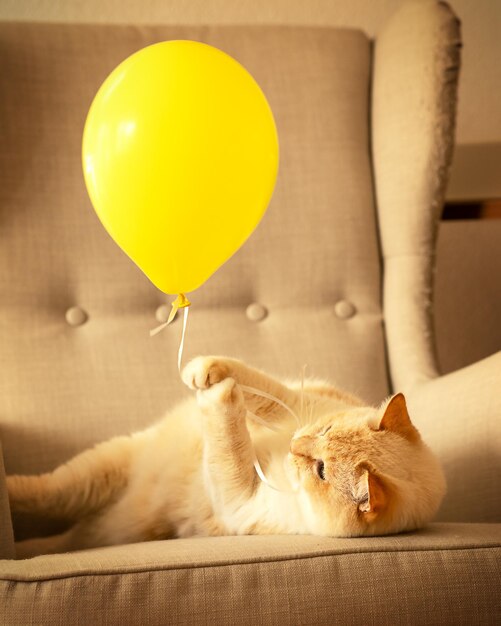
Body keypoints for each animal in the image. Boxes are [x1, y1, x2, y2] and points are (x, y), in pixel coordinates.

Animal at [6, 354, 446, 560]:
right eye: (322, 432)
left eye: (321, 470)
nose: (295, 446)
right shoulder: (297, 404)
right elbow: (252, 383)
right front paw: (206, 373)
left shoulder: (239, 500)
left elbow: (229, 444)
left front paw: (218, 398)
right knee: (44, 494)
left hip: (97, 504)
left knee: (51, 509)